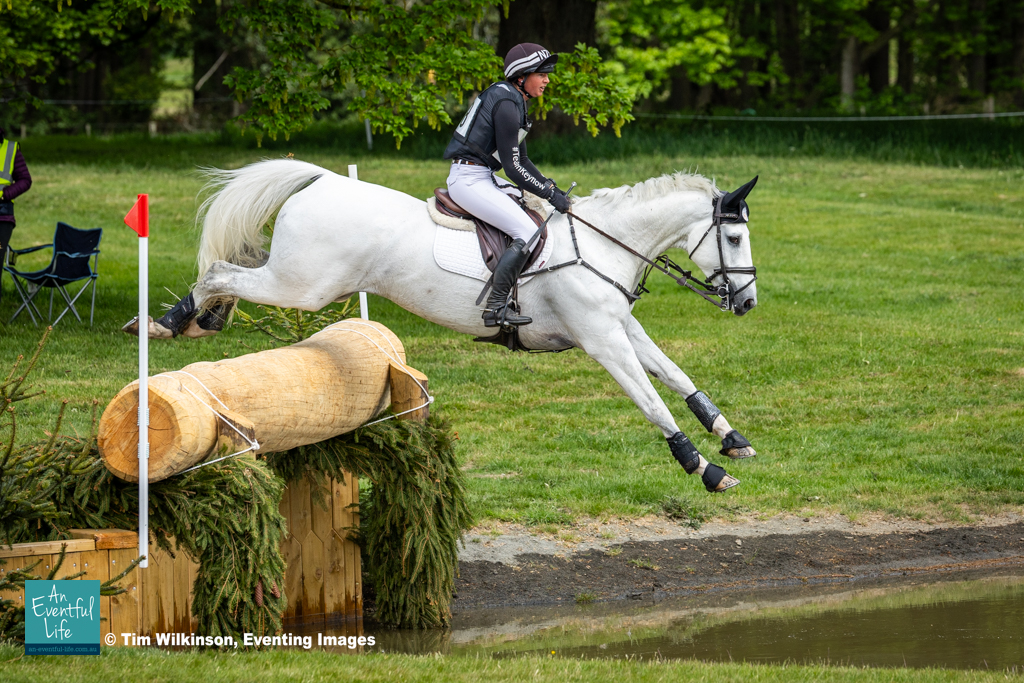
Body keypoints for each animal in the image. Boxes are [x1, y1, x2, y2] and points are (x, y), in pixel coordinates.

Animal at [131, 159, 760, 493]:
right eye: (733, 237)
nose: (749, 304)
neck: (604, 243)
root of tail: (323, 180)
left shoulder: (621, 329)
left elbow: (678, 377)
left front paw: (730, 438)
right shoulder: (601, 340)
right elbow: (651, 400)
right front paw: (702, 468)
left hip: (301, 280)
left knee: (231, 269)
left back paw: (193, 319)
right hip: (303, 285)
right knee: (220, 271)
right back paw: (172, 324)